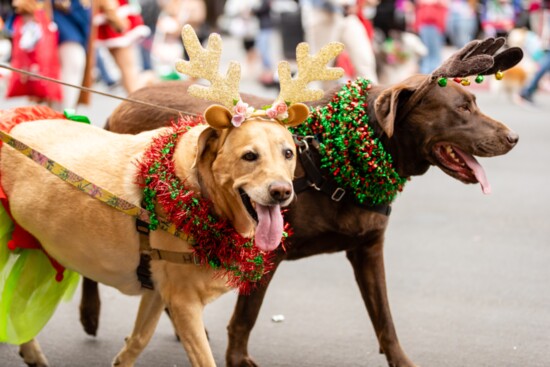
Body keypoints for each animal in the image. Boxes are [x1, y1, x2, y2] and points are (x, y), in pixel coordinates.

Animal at [0, 25, 344, 367]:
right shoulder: (184, 302)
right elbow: (203, 358)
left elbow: (137, 341)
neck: (198, 194)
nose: (282, 192)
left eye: (288, 153)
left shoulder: (157, 290)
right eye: (249, 156)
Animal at [80, 38, 524, 367]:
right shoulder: (267, 251)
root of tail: (122, 103)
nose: (513, 137)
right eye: (462, 108)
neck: (345, 154)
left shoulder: (368, 248)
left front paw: (402, 360)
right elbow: (246, 317)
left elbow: (385, 320)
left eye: (475, 104)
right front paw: (238, 360)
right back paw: (90, 312)